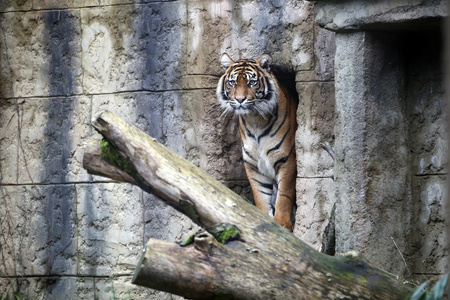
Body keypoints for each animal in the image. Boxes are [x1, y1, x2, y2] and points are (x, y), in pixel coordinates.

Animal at [216, 53, 298, 232]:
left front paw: (282, 223)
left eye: (252, 82)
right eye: (233, 83)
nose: (240, 99)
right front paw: (266, 221)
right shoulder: (253, 165)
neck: (255, 121)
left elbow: (284, 195)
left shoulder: (287, 159)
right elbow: (260, 195)